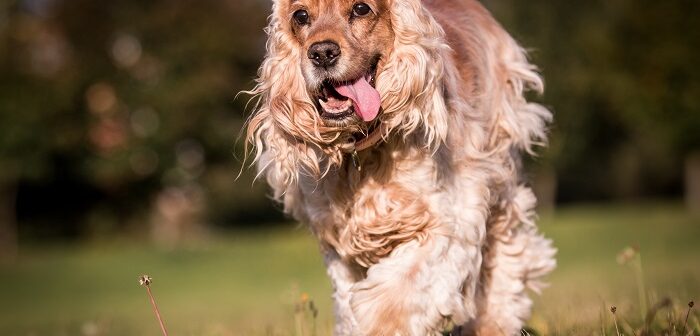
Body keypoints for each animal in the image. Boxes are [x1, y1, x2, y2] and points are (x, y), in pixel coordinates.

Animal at [246, 1, 556, 334]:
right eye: (300, 15)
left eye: (361, 8)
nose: (322, 53)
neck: (360, 152)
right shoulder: (337, 242)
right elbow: (348, 302)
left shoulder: (449, 219)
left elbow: (395, 300)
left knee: (508, 253)